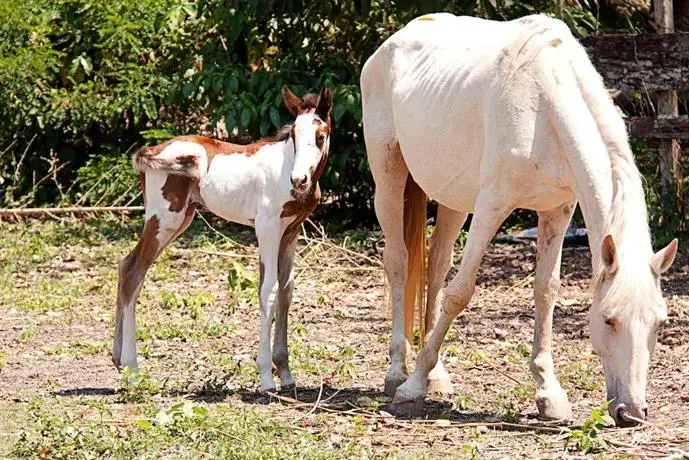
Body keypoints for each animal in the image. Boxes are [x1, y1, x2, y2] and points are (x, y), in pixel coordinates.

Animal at [111, 86, 332, 392]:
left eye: (320, 136)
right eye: (294, 136)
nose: (299, 180)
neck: (285, 167)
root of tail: (154, 150)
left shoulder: (290, 232)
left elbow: (286, 291)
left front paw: (286, 373)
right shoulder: (267, 228)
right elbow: (268, 291)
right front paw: (266, 377)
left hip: (179, 219)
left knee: (126, 266)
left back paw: (118, 362)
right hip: (164, 220)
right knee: (133, 273)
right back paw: (132, 370)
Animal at [360, 11, 676, 428]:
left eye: (659, 323)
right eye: (608, 319)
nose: (631, 413)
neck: (544, 104)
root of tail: (390, 44)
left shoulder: (558, 210)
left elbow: (546, 291)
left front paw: (549, 394)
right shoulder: (493, 203)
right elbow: (460, 292)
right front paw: (411, 388)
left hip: (454, 199)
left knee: (436, 264)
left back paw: (437, 376)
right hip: (389, 176)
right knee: (398, 262)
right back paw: (398, 372)